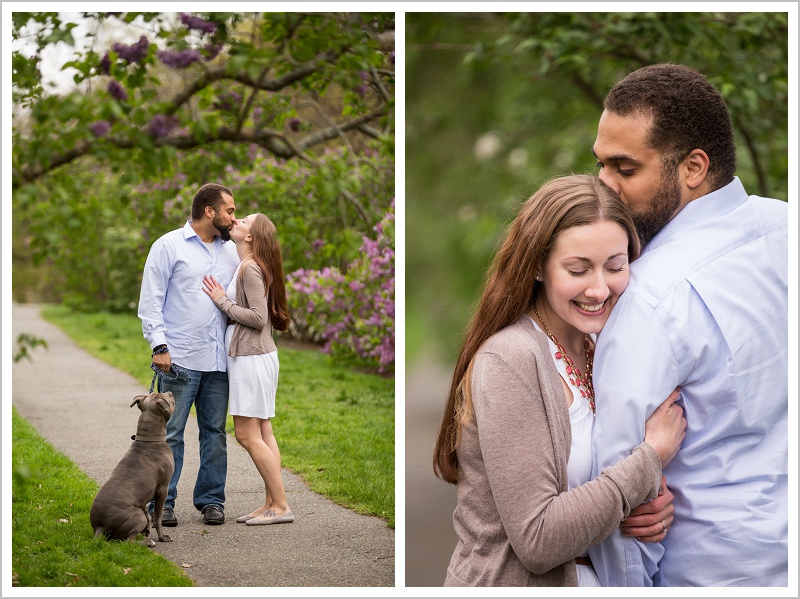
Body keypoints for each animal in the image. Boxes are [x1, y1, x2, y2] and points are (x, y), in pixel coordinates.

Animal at [91, 394, 177, 548]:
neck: (150, 440)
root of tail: (99, 527)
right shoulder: (163, 489)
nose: (171, 392)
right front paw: (162, 537)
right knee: (128, 542)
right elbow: (157, 517)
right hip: (137, 516)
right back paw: (149, 542)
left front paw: (149, 531)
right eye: (166, 398)